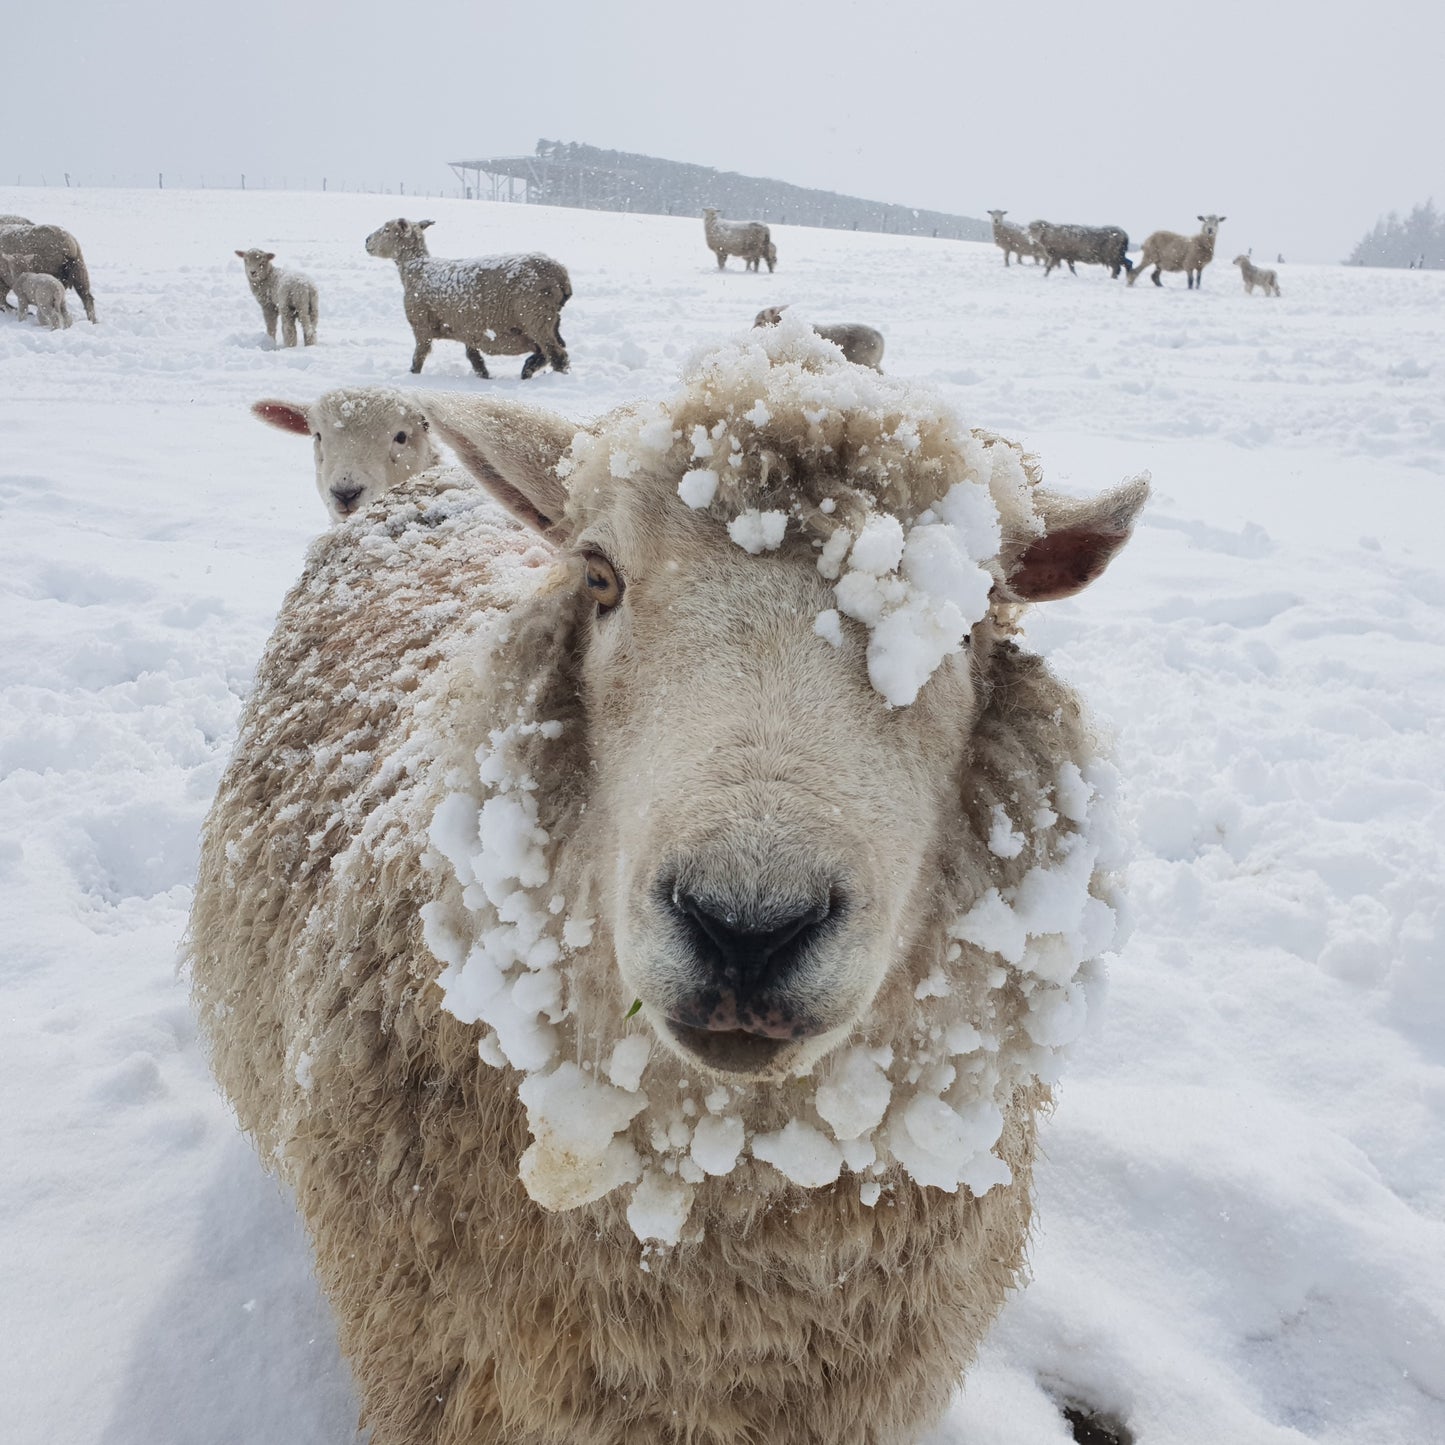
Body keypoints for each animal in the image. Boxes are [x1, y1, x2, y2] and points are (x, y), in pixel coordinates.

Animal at [364, 216, 572, 381]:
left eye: (387, 229)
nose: (366, 240)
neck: (417, 268)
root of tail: (560, 274)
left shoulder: (421, 325)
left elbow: (418, 358)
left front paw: (412, 376)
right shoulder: (467, 327)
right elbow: (474, 358)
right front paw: (484, 376)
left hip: (535, 316)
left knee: (557, 354)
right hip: (549, 320)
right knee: (552, 349)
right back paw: (528, 368)